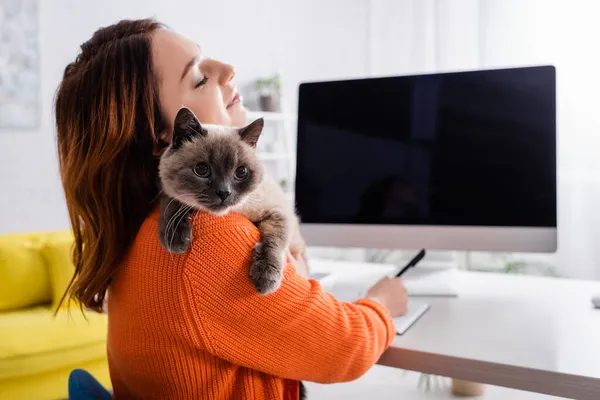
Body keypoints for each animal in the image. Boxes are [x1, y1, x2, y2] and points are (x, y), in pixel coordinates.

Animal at [157, 106, 308, 294]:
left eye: (241, 172)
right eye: (201, 170)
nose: (224, 193)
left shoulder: (278, 211)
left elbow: (274, 243)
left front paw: (266, 279)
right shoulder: (169, 194)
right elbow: (173, 205)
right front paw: (176, 239)